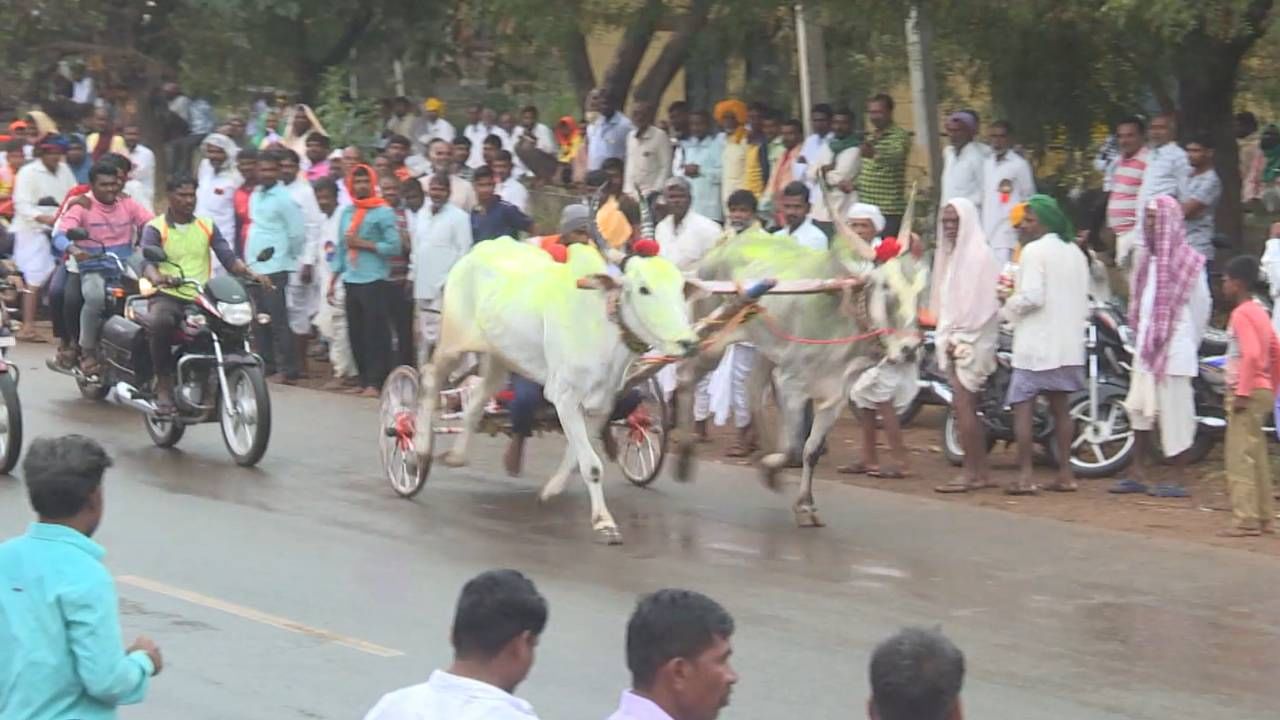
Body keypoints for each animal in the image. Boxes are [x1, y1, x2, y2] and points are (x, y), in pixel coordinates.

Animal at [417, 238, 701, 540]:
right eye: (644, 288)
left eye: (681, 289)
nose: (688, 342)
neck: (601, 328)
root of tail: (478, 249)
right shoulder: (565, 398)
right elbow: (591, 465)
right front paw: (604, 521)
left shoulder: (601, 406)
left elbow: (577, 458)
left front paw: (550, 491)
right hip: (452, 345)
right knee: (429, 381)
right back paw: (419, 453)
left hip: (499, 357)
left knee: (475, 402)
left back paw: (456, 456)